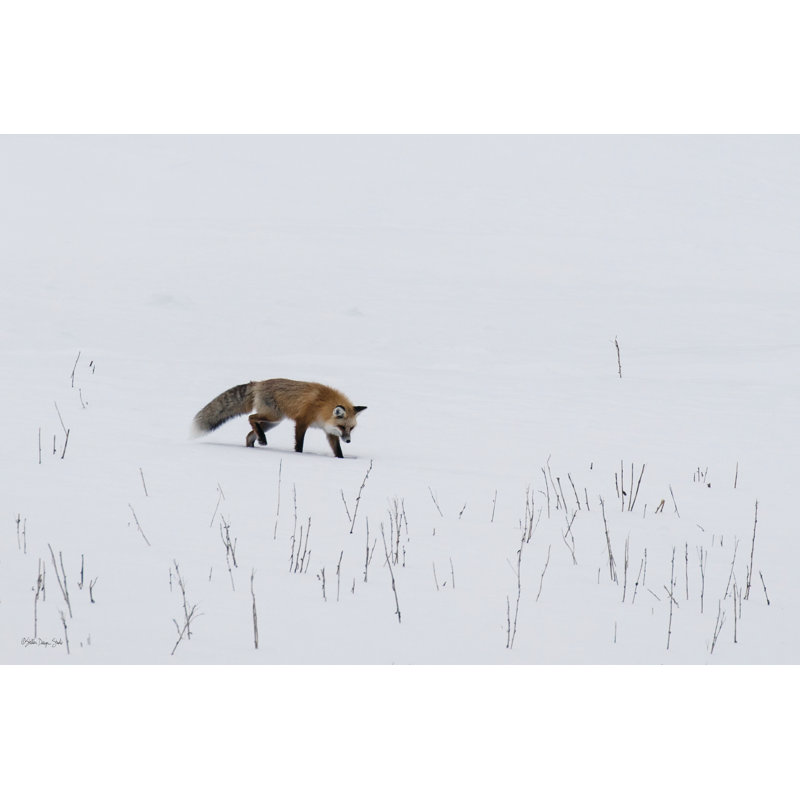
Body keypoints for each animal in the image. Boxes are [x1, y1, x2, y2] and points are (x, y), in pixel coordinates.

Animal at [192, 378, 366, 458]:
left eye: (351, 428)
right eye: (343, 427)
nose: (348, 440)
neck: (322, 406)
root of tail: (258, 383)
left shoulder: (329, 431)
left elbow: (338, 450)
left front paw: (341, 461)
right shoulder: (301, 422)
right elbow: (299, 444)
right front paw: (299, 456)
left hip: (273, 422)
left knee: (249, 434)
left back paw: (255, 444)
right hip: (273, 416)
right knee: (251, 417)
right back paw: (262, 440)